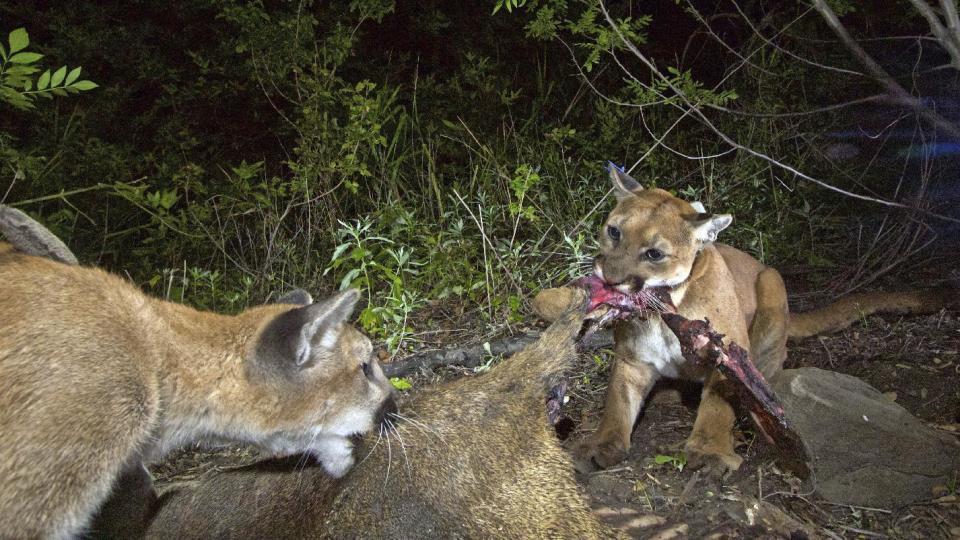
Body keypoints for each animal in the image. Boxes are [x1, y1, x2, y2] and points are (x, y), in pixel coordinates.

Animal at [536, 168, 948, 476]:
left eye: (654, 253)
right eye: (614, 231)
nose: (609, 279)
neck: (664, 311)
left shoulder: (727, 350)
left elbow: (718, 406)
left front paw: (709, 452)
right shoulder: (633, 358)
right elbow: (617, 403)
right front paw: (600, 445)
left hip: (772, 281)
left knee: (772, 363)